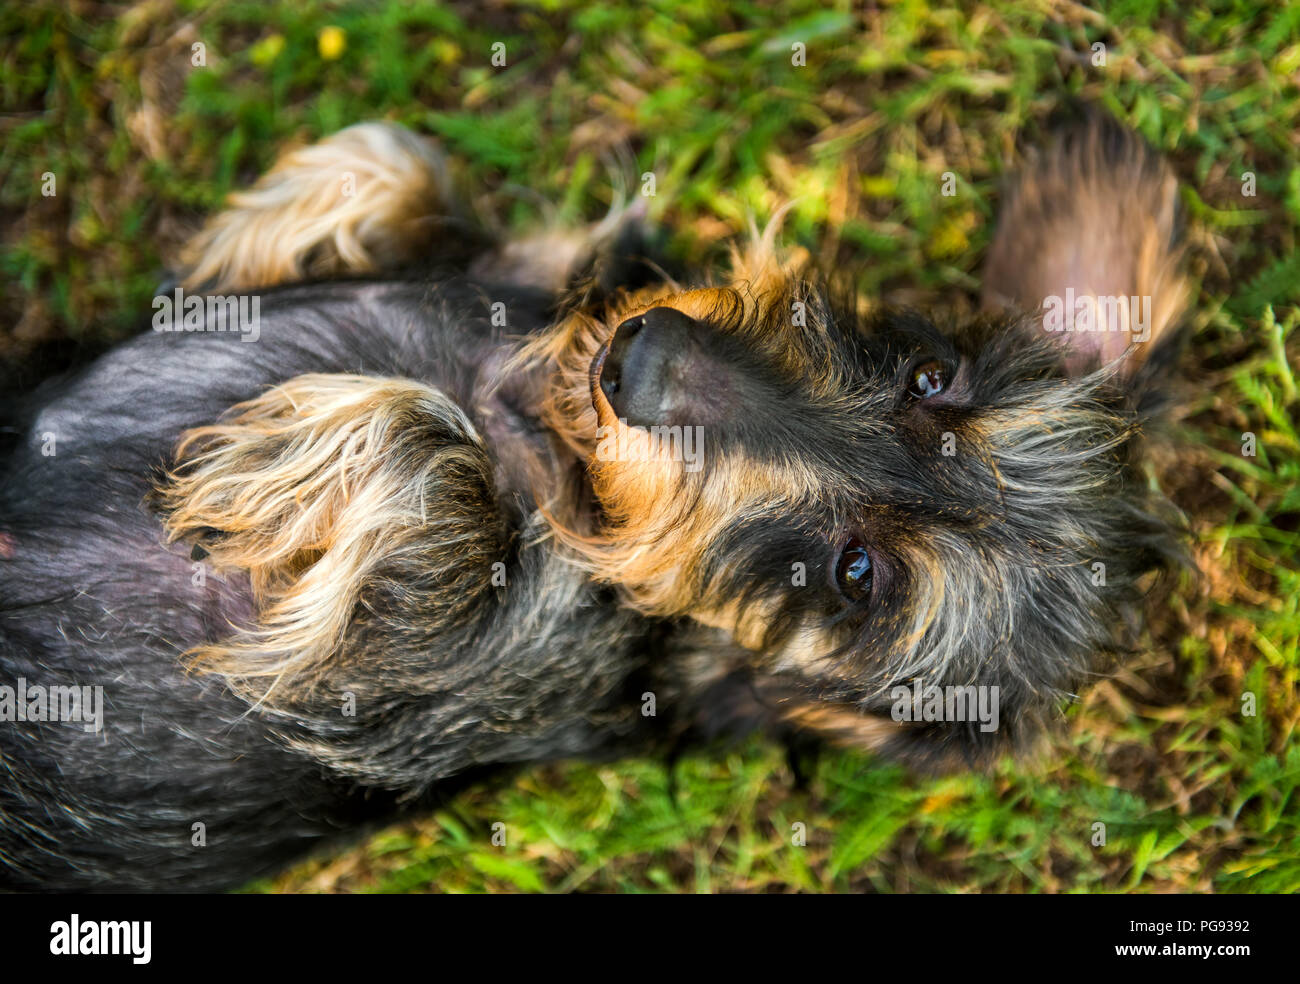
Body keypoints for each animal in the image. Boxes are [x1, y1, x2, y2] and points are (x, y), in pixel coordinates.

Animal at [0, 111, 1190, 889]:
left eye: (857, 574)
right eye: (930, 378)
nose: (644, 355)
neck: (541, 424)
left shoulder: (401, 691)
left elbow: (437, 472)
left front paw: (275, 461)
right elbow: (400, 160)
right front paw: (246, 245)